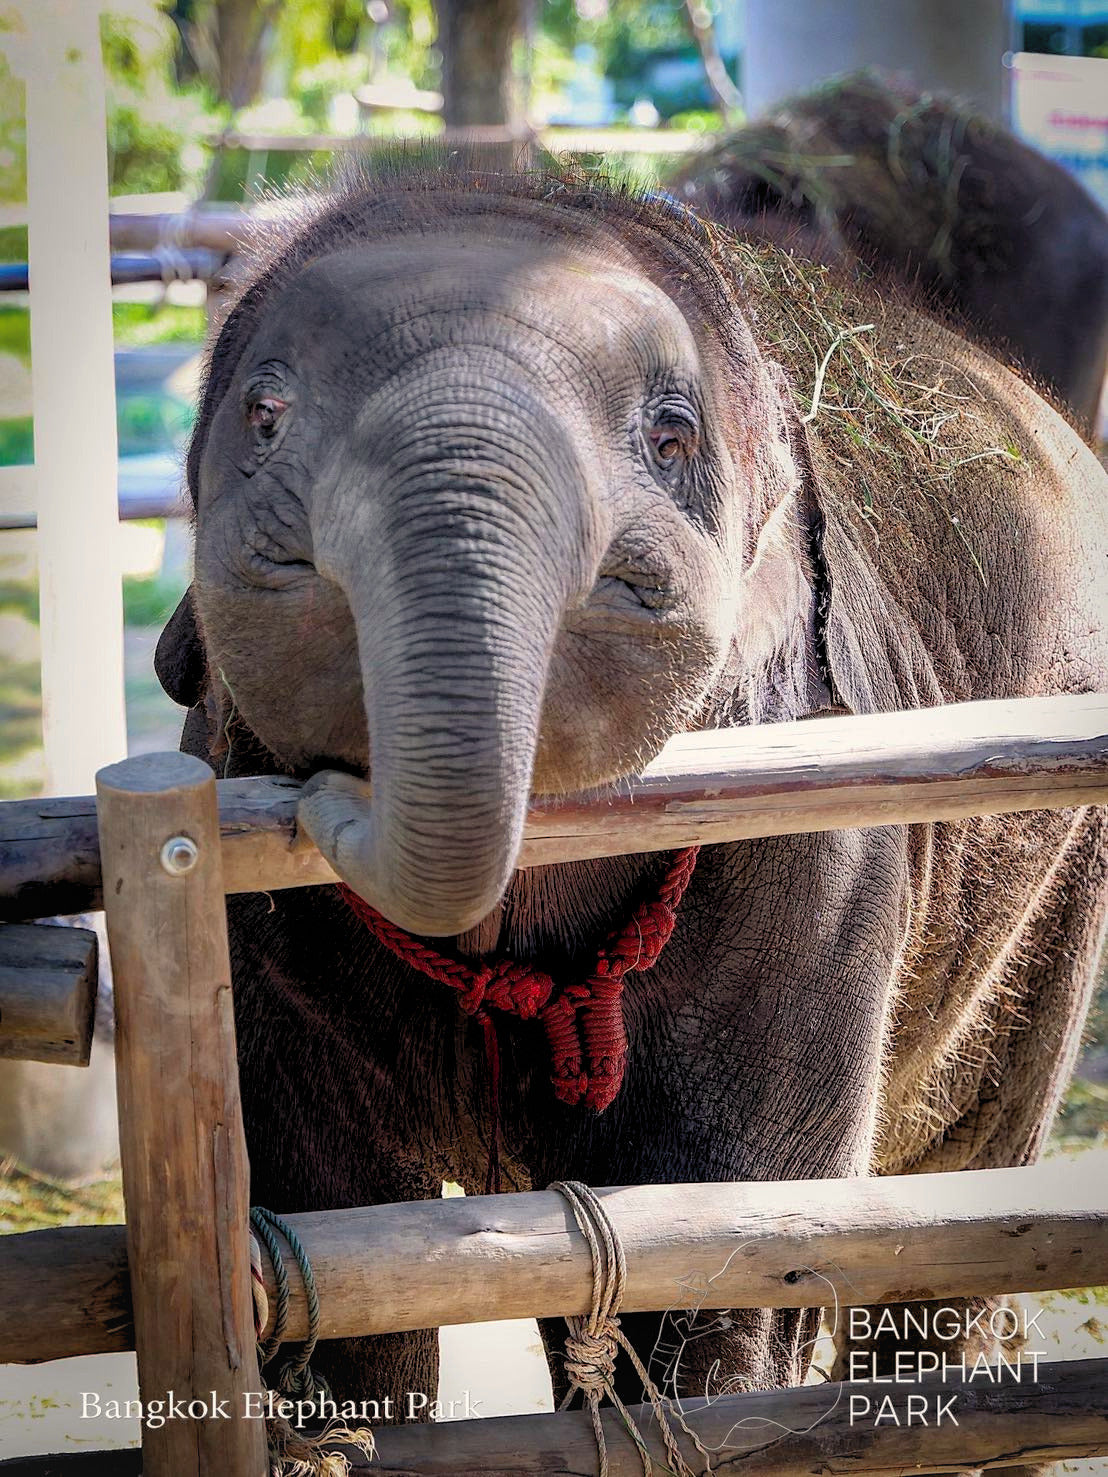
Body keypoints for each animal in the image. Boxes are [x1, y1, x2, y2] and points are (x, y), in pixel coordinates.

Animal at [155, 166, 1108, 1442]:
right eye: (265, 415)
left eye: (669, 436)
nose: (329, 799)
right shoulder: (256, 932)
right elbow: (331, 1261)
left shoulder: (818, 866)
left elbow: (713, 1274)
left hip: (1057, 886)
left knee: (960, 1191)